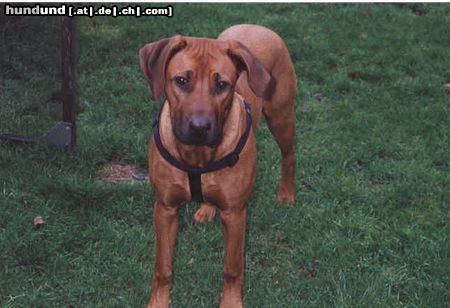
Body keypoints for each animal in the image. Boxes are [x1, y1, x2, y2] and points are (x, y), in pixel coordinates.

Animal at [139, 24, 298, 308]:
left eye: (223, 84)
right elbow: (163, 267)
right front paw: (158, 301)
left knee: (288, 155)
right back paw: (206, 209)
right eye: (181, 80)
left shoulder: (235, 214)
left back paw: (287, 193)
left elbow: (232, 269)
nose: (200, 127)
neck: (197, 156)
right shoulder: (165, 208)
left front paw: (231, 302)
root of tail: (258, 26)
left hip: (282, 115)